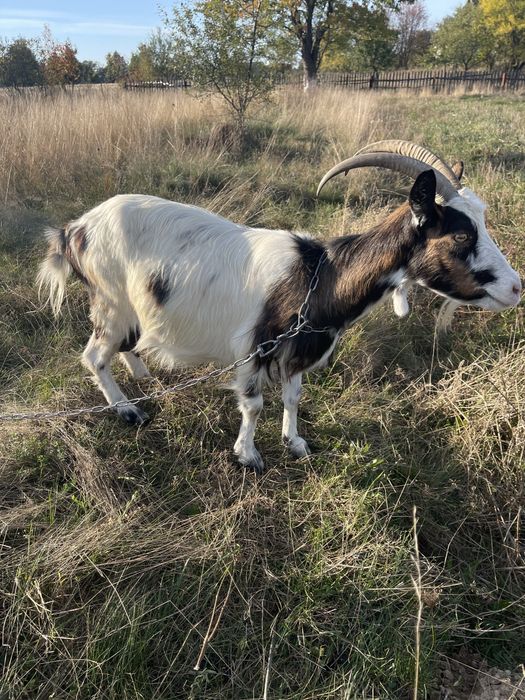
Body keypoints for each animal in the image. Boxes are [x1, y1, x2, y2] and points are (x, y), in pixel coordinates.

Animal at [37, 140, 522, 473]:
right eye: (461, 234)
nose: (516, 288)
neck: (319, 276)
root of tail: (74, 230)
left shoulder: (298, 348)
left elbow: (292, 396)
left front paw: (296, 443)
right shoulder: (256, 347)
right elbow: (254, 405)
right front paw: (249, 455)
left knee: (124, 346)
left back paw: (143, 375)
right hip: (111, 301)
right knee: (94, 355)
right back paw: (127, 408)